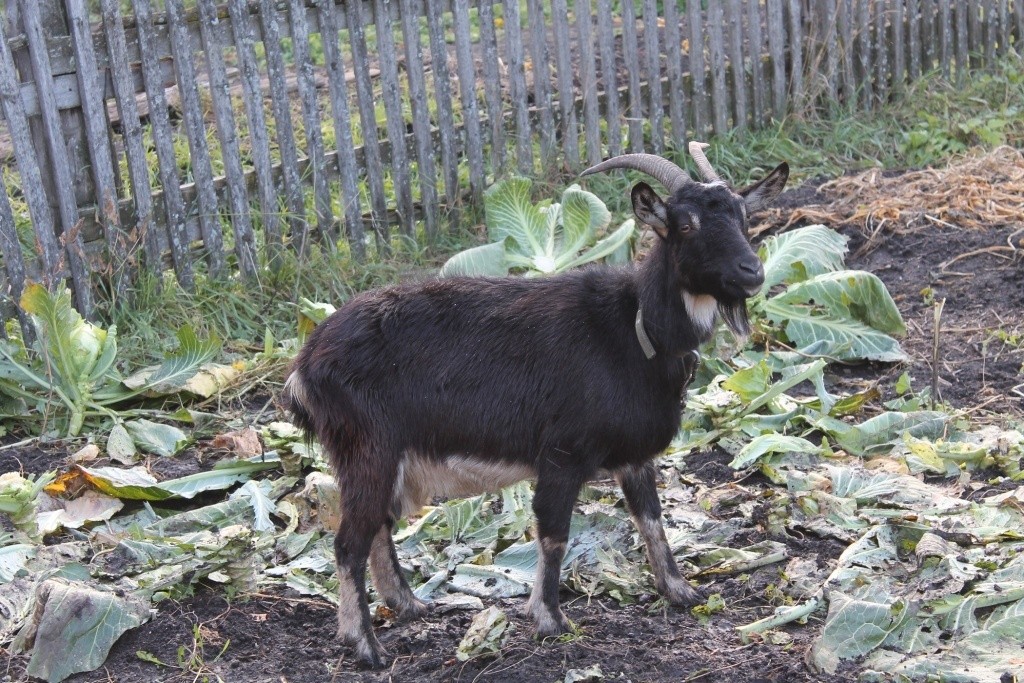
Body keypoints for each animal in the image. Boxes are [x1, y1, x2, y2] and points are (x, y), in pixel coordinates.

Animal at [283, 142, 789, 667]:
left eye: (744, 216)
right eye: (685, 224)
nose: (752, 272)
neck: (635, 329)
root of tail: (306, 362)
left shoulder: (634, 458)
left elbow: (652, 521)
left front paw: (681, 591)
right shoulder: (562, 455)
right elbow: (554, 533)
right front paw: (550, 619)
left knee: (379, 527)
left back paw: (410, 606)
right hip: (368, 447)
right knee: (349, 543)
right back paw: (365, 644)